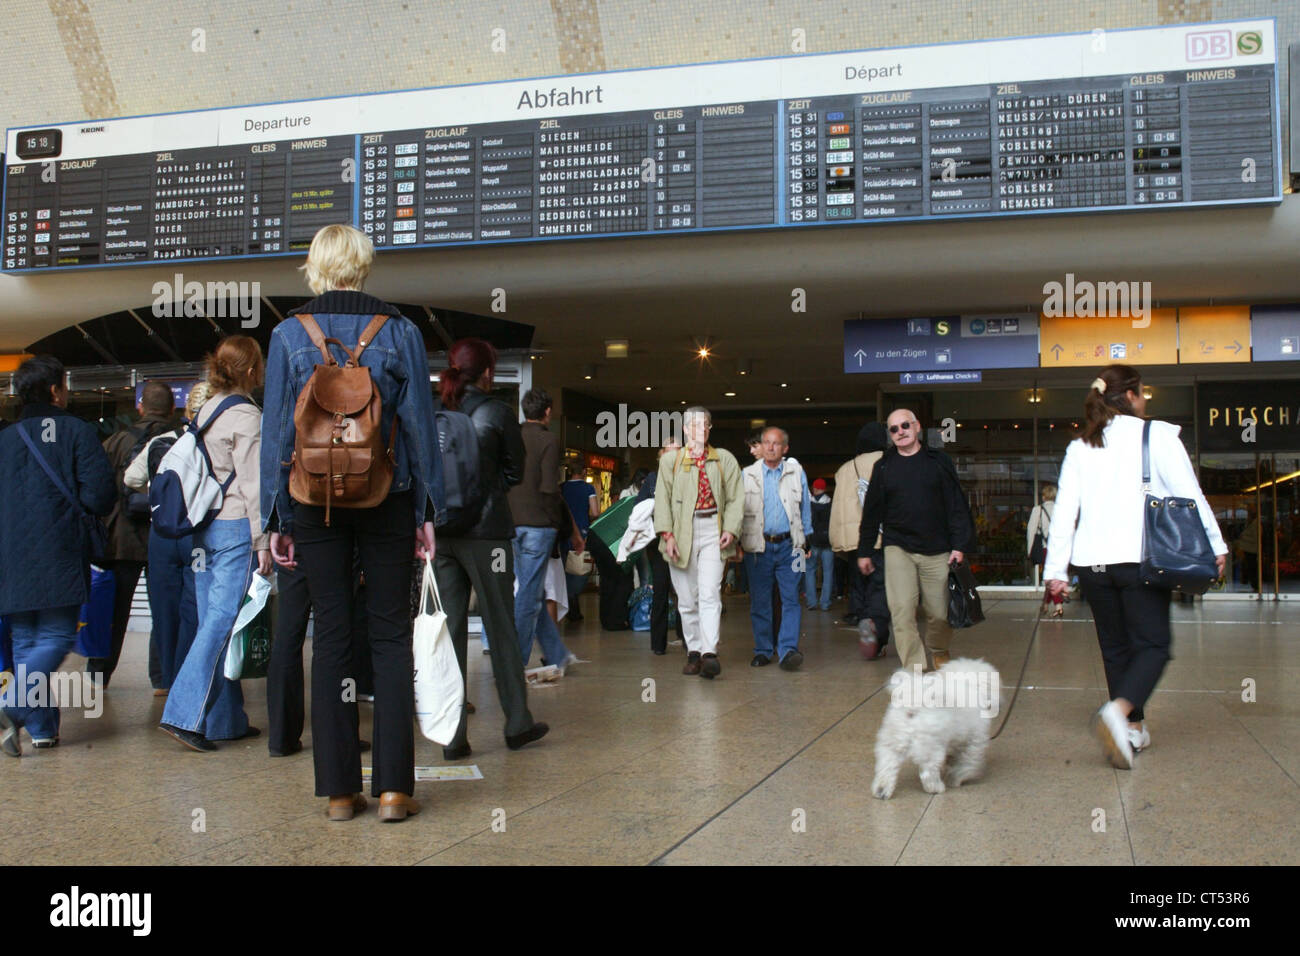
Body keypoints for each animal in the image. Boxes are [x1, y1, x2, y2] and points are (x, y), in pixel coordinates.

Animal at [868, 658, 998, 801]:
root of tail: (914, 709)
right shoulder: (973, 743)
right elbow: (967, 763)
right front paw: (956, 779)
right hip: (930, 747)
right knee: (928, 771)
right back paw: (936, 788)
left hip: (892, 743)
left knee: (887, 767)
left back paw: (881, 790)